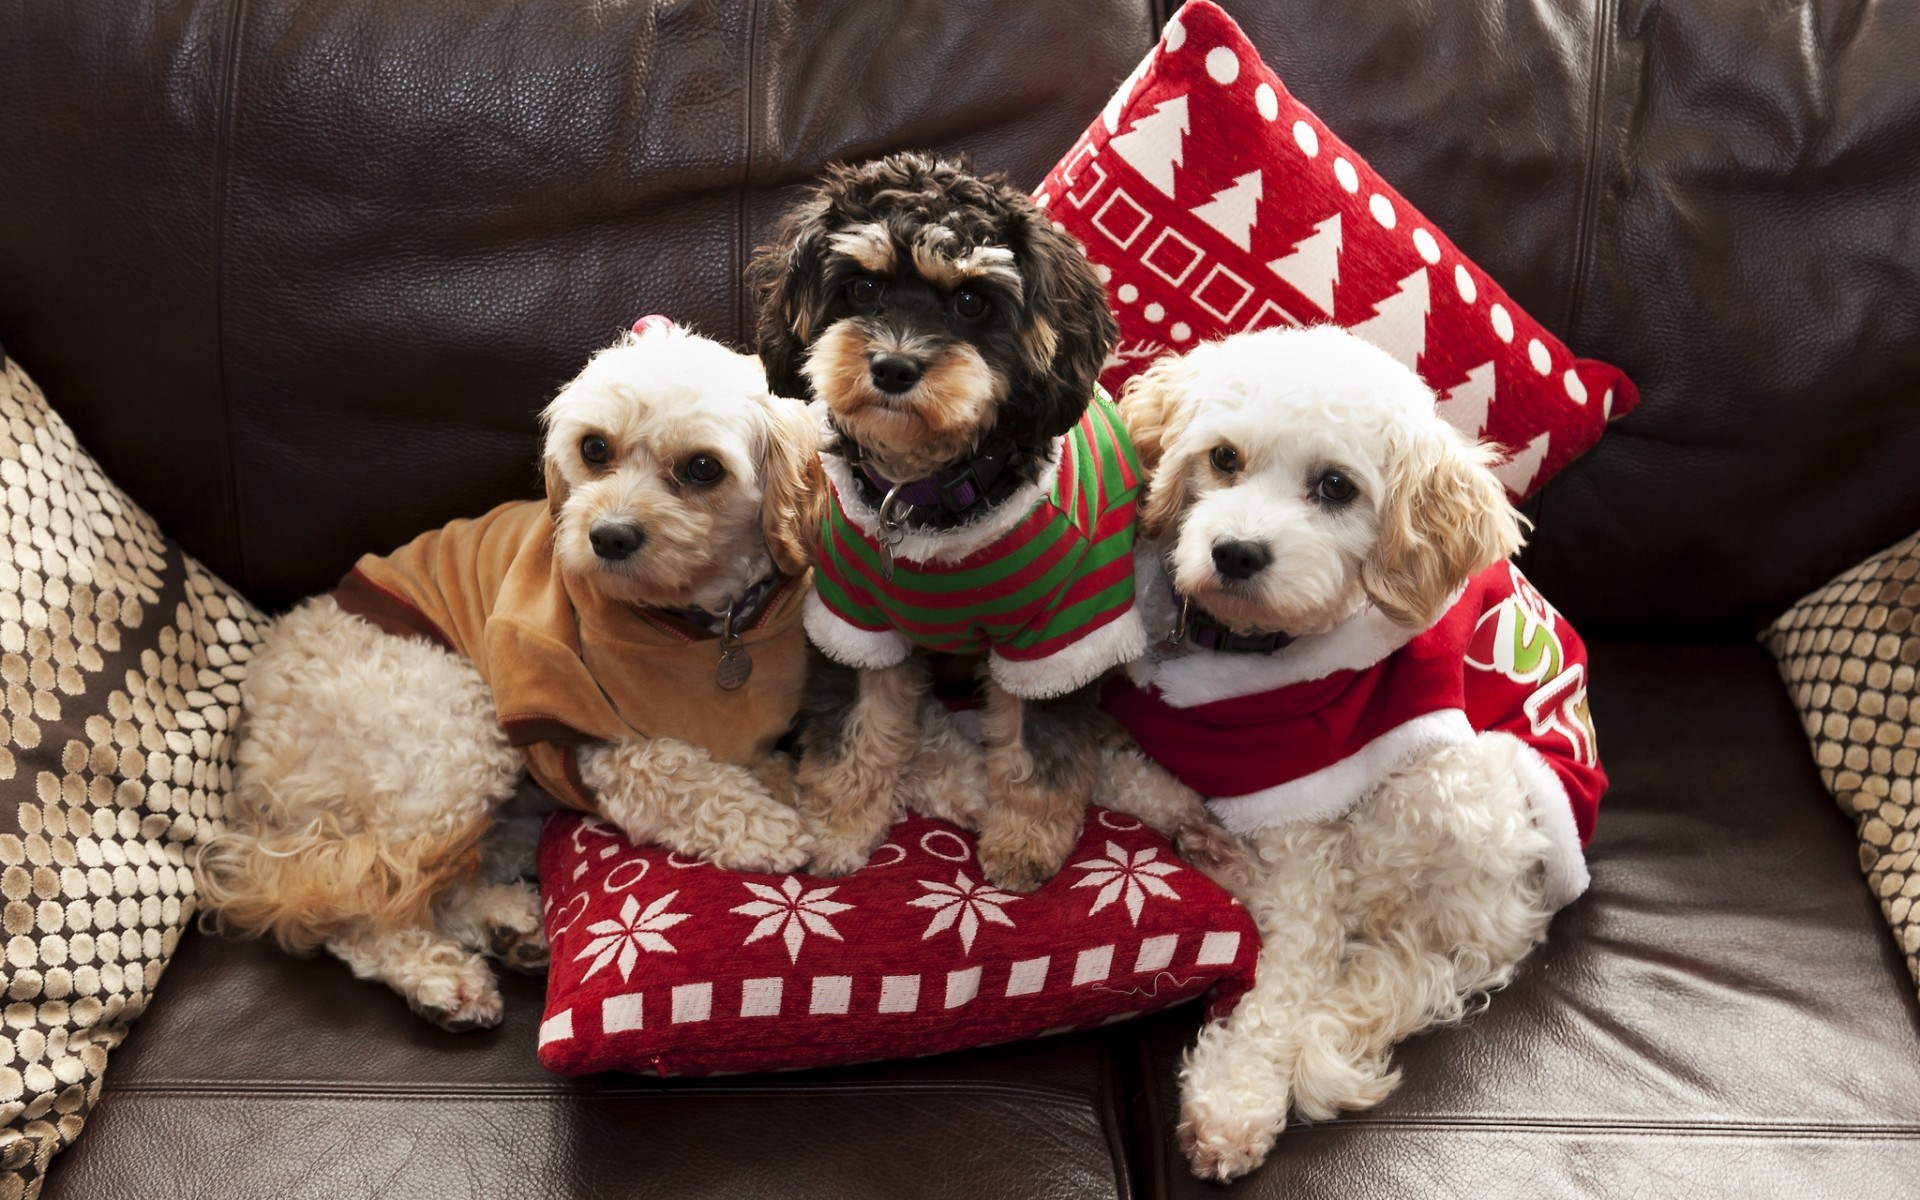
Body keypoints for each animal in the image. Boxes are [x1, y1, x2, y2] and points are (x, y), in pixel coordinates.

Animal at [196, 324, 825, 1029]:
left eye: (702, 468)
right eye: (594, 447)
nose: (607, 537)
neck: (706, 627)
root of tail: (256, 772)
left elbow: (765, 763)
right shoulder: (587, 739)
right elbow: (676, 773)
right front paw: (770, 827)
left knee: (431, 882)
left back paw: (509, 926)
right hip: (451, 734)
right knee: (364, 897)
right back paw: (440, 978)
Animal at [748, 151, 1136, 890]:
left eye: (971, 302)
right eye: (862, 290)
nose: (894, 367)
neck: (924, 502)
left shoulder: (1053, 641)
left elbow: (1036, 754)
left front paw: (1023, 845)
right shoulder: (855, 622)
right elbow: (856, 732)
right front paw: (839, 829)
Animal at [1098, 328, 1605, 1182]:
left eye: (1335, 487)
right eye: (1223, 458)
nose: (1236, 552)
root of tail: (1505, 930)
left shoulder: (1308, 811)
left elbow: (1292, 970)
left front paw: (1234, 1100)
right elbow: (1122, 768)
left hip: (1454, 781)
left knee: (1327, 917)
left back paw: (1223, 856)